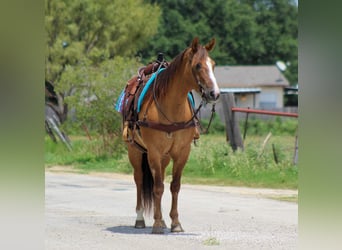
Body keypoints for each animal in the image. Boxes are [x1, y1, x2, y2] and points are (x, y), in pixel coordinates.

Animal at [119, 37, 219, 234]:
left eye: (213, 64)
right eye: (197, 65)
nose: (215, 93)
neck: (172, 109)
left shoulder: (182, 153)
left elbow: (174, 186)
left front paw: (175, 222)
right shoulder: (154, 152)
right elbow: (157, 187)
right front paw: (157, 223)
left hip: (163, 158)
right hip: (135, 152)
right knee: (139, 180)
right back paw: (140, 218)